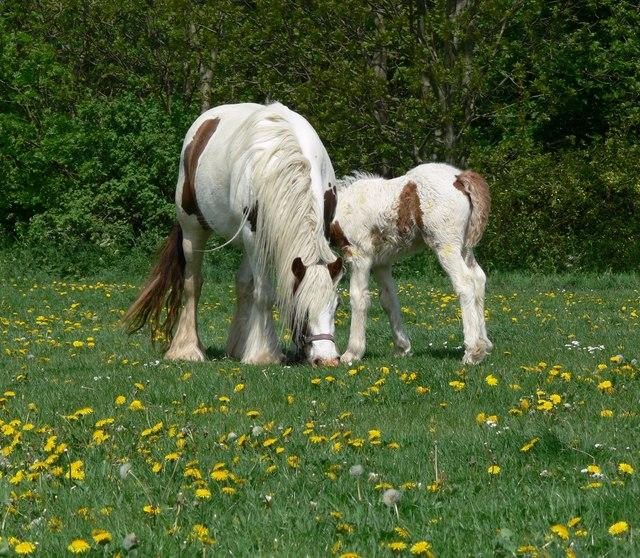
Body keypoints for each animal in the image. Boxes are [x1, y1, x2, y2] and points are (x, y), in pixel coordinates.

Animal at [125, 102, 343, 366]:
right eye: (302, 307)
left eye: (336, 306)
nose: (327, 359)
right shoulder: (254, 237)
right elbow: (264, 293)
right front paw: (264, 355)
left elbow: (251, 288)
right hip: (193, 230)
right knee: (193, 285)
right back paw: (187, 349)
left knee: (242, 285)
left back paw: (238, 347)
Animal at [330, 163, 492, 364]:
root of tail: (459, 178)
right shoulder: (381, 263)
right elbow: (388, 300)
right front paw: (402, 347)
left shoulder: (360, 256)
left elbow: (359, 299)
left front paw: (352, 353)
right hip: (465, 247)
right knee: (479, 279)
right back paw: (485, 344)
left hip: (447, 246)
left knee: (465, 284)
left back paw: (472, 351)